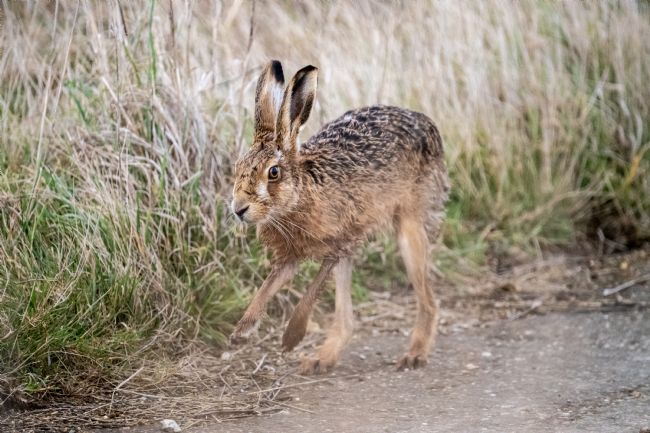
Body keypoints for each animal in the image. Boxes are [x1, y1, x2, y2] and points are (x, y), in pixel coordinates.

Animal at [229, 60, 449, 374]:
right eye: (238, 167)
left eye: (273, 172)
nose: (239, 208)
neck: (300, 196)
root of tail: (429, 125)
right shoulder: (291, 256)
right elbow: (268, 286)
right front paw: (241, 331)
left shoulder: (342, 241)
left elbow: (312, 291)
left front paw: (291, 337)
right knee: (347, 318)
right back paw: (322, 359)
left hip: (409, 226)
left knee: (428, 299)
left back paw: (415, 354)